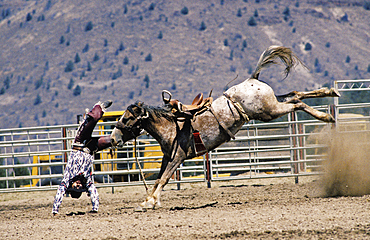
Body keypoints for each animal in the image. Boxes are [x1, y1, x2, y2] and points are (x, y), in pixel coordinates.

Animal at [110, 45, 342, 210]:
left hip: (269, 112)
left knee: (297, 103)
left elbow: (165, 178)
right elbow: (159, 178)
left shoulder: (177, 157)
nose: (113, 138)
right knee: (295, 94)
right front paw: (149, 200)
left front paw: (151, 201)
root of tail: (251, 79)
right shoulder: (168, 157)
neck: (170, 126)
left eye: (128, 118)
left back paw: (327, 115)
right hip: (272, 104)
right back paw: (329, 93)